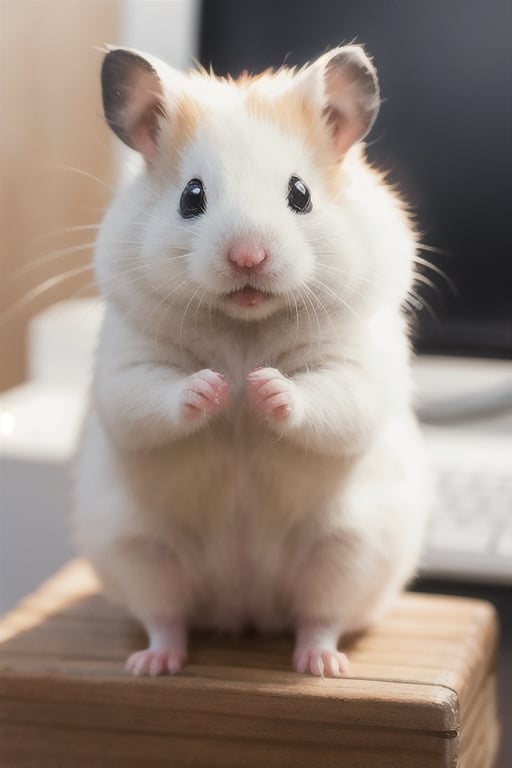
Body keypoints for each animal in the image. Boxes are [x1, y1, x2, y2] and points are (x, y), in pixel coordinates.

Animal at [74, 43, 428, 680]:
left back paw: (322, 665)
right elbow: (151, 398)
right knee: (165, 614)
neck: (244, 326)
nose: (248, 257)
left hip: (349, 552)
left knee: (320, 617)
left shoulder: (355, 366)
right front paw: (217, 389)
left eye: (300, 193)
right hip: (138, 549)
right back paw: (154, 663)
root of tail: (245, 609)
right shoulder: (127, 364)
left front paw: (262, 388)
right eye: (192, 196)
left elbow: (328, 401)